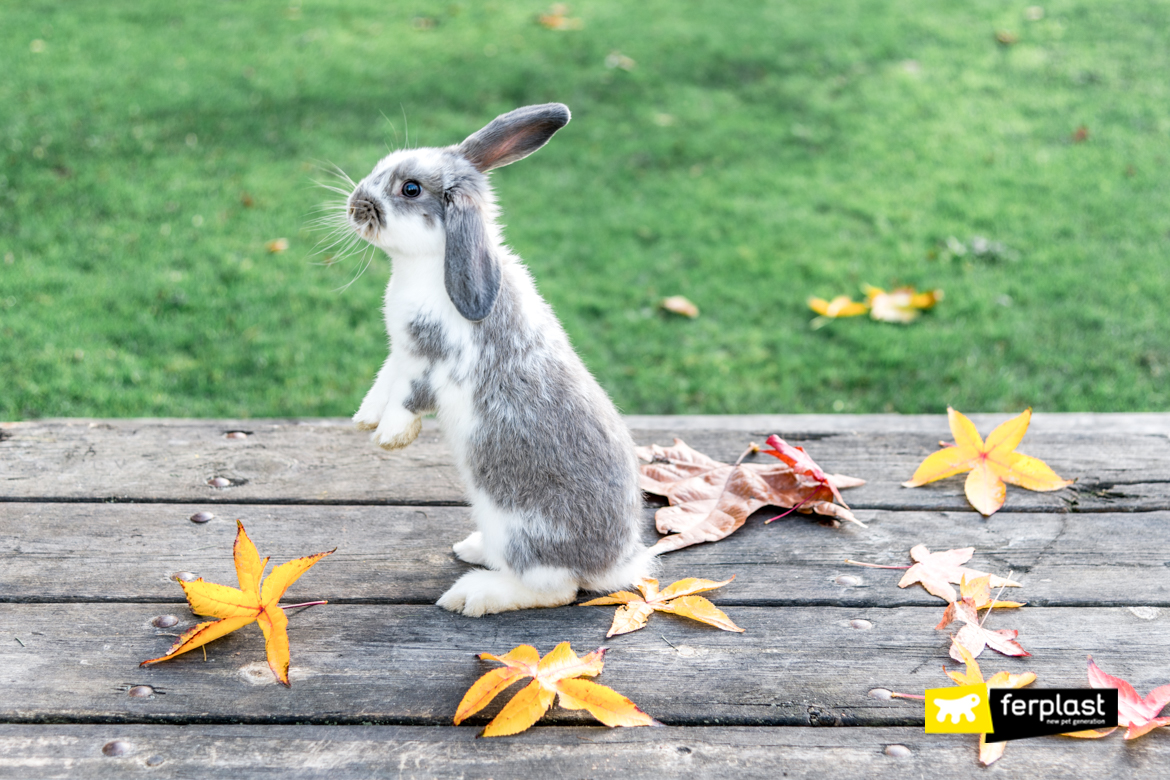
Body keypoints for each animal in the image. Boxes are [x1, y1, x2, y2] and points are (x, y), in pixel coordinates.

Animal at [341, 102, 655, 617]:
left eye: (410, 189)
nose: (353, 206)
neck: (431, 265)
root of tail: (613, 565)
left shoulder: (430, 361)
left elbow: (407, 398)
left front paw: (389, 438)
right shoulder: (400, 352)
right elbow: (383, 382)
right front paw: (367, 420)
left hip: (519, 531)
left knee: (556, 589)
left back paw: (475, 594)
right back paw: (473, 549)